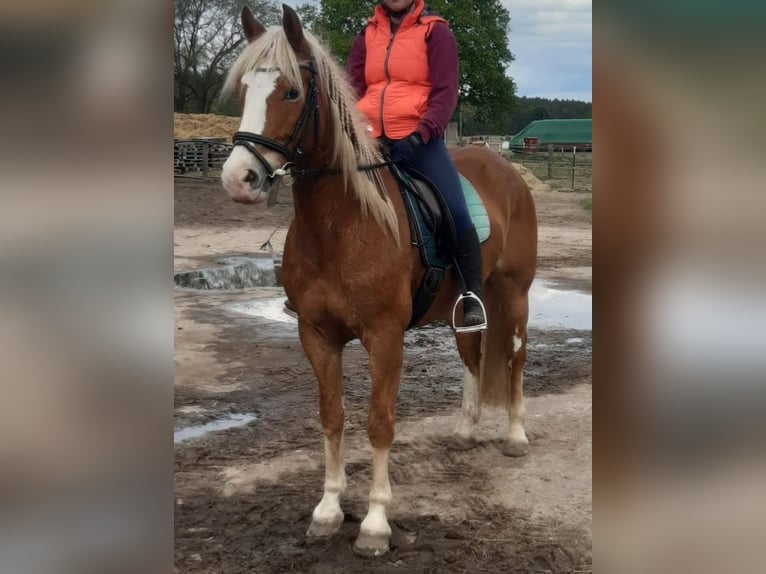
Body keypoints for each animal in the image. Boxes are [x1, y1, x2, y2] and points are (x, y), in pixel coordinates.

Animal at [221, 5, 537, 557]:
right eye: (244, 90)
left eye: (291, 93)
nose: (239, 179)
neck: (340, 225)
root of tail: (505, 168)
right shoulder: (316, 335)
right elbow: (332, 417)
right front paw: (327, 511)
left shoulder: (384, 338)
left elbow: (379, 422)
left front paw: (374, 524)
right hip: (464, 306)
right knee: (473, 357)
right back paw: (465, 430)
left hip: (515, 294)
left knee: (514, 359)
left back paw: (515, 437)